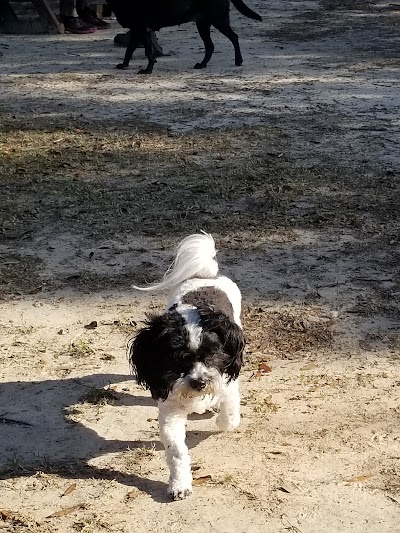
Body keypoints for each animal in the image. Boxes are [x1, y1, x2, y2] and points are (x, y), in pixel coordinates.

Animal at [106, 0, 262, 74]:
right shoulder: (136, 30)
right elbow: (129, 50)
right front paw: (124, 65)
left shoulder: (142, 29)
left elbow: (148, 53)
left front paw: (147, 70)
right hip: (203, 24)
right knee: (210, 46)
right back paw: (202, 64)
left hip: (218, 20)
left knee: (234, 37)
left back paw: (238, 60)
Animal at [130, 232, 245, 498]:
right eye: (176, 358)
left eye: (212, 353)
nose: (199, 382)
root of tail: (205, 276)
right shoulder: (170, 411)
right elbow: (176, 451)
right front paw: (179, 483)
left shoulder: (228, 384)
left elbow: (229, 415)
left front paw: (219, 417)